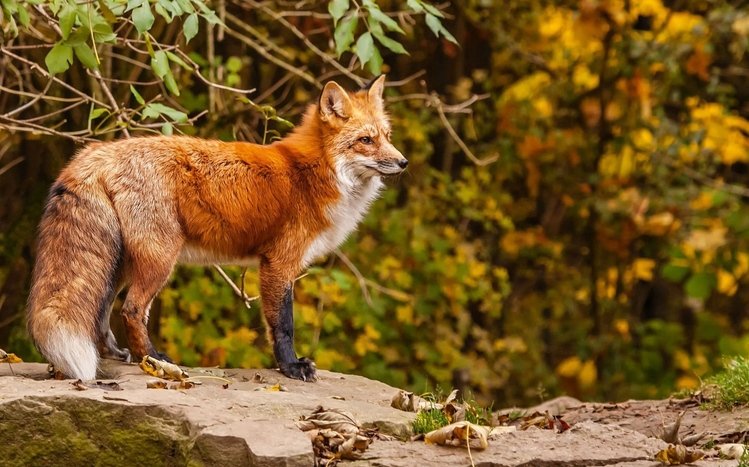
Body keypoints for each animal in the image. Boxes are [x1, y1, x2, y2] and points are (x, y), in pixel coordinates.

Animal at [26, 75, 407, 382]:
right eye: (366, 140)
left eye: (387, 136)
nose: (403, 162)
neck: (315, 172)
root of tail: (96, 152)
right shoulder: (279, 263)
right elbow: (283, 325)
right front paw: (291, 367)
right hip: (159, 258)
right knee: (131, 310)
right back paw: (153, 359)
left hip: (119, 262)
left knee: (102, 313)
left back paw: (119, 355)